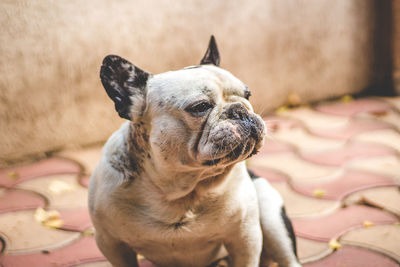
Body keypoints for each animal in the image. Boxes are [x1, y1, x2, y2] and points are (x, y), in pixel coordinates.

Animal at [87, 36, 300, 267]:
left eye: (248, 95)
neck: (182, 190)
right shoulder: (111, 243)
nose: (240, 110)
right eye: (200, 107)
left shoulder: (245, 237)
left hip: (270, 215)